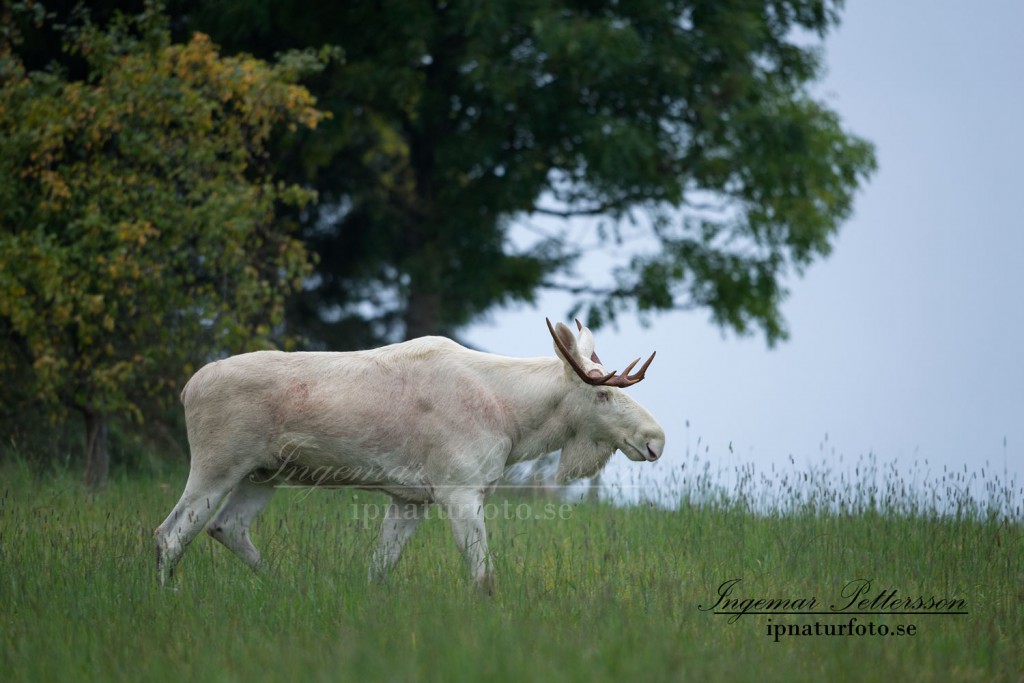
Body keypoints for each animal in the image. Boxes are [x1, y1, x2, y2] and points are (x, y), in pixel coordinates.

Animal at [151, 321, 663, 593]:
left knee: (226, 527)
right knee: (170, 533)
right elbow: (483, 577)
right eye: (601, 395)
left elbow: (379, 569)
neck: (515, 421)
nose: (655, 438)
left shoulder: (411, 498)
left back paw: (283, 584)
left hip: (263, 474)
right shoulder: (460, 490)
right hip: (218, 463)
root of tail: (186, 389)